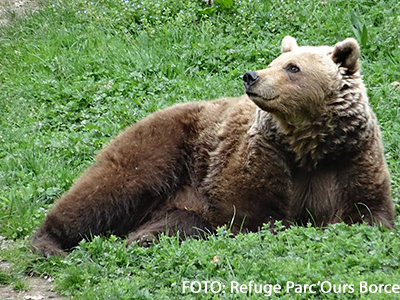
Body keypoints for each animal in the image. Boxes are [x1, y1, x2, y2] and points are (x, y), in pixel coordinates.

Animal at [33, 35, 394, 255]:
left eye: (293, 67)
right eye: (273, 62)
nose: (251, 76)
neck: (306, 146)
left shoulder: (350, 157)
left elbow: (369, 212)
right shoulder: (262, 158)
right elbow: (251, 215)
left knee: (172, 222)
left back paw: (140, 238)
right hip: (163, 147)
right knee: (106, 190)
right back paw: (49, 242)